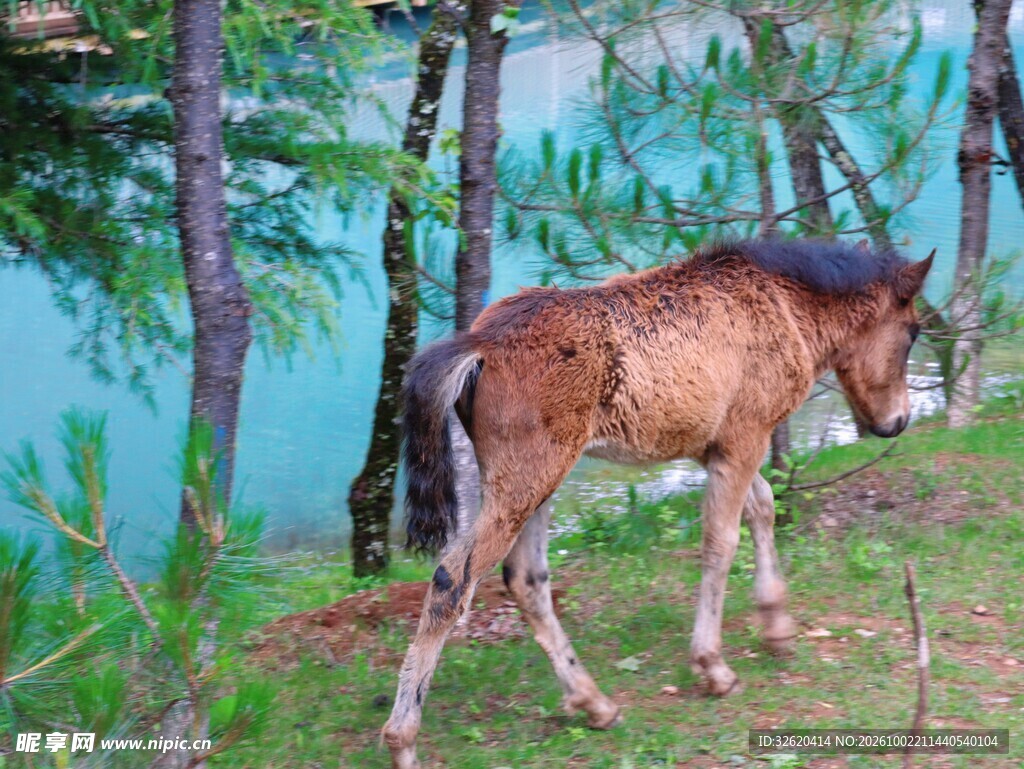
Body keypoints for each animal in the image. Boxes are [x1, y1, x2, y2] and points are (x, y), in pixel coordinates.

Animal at [382, 238, 933, 768]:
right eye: (912, 333)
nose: (897, 421)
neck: (785, 307)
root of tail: (480, 344)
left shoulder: (714, 445)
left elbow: (763, 506)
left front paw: (777, 626)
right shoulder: (746, 435)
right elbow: (721, 541)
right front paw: (713, 665)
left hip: (534, 480)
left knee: (525, 578)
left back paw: (594, 702)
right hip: (527, 477)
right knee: (453, 579)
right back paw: (402, 740)